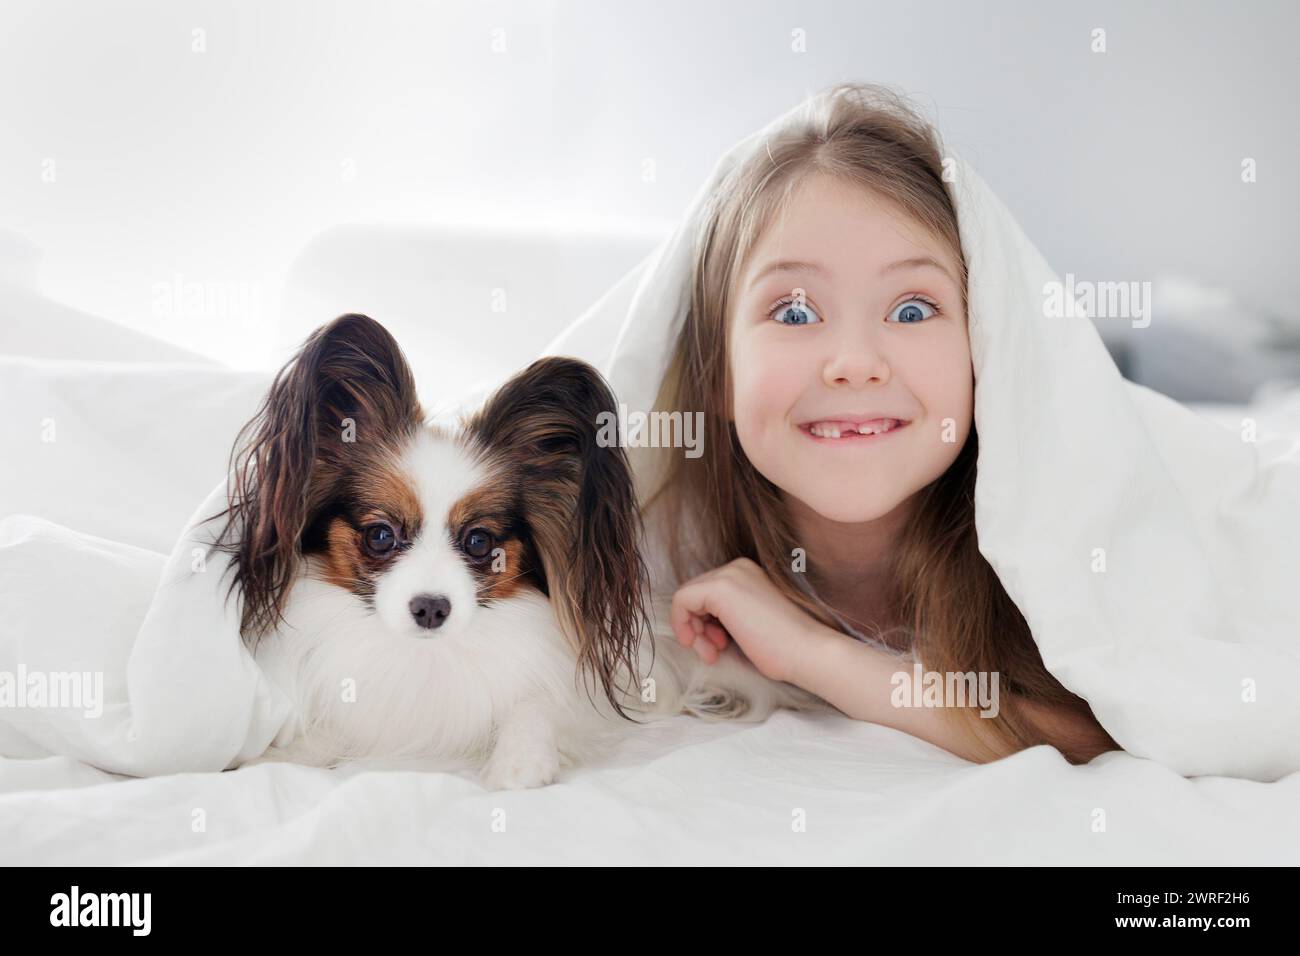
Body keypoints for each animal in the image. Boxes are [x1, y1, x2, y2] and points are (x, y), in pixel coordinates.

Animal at [213, 317, 821, 790]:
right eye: (380, 535)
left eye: (479, 542)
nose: (431, 609)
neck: (430, 659)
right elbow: (330, 734)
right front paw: (271, 758)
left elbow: (534, 704)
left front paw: (519, 762)